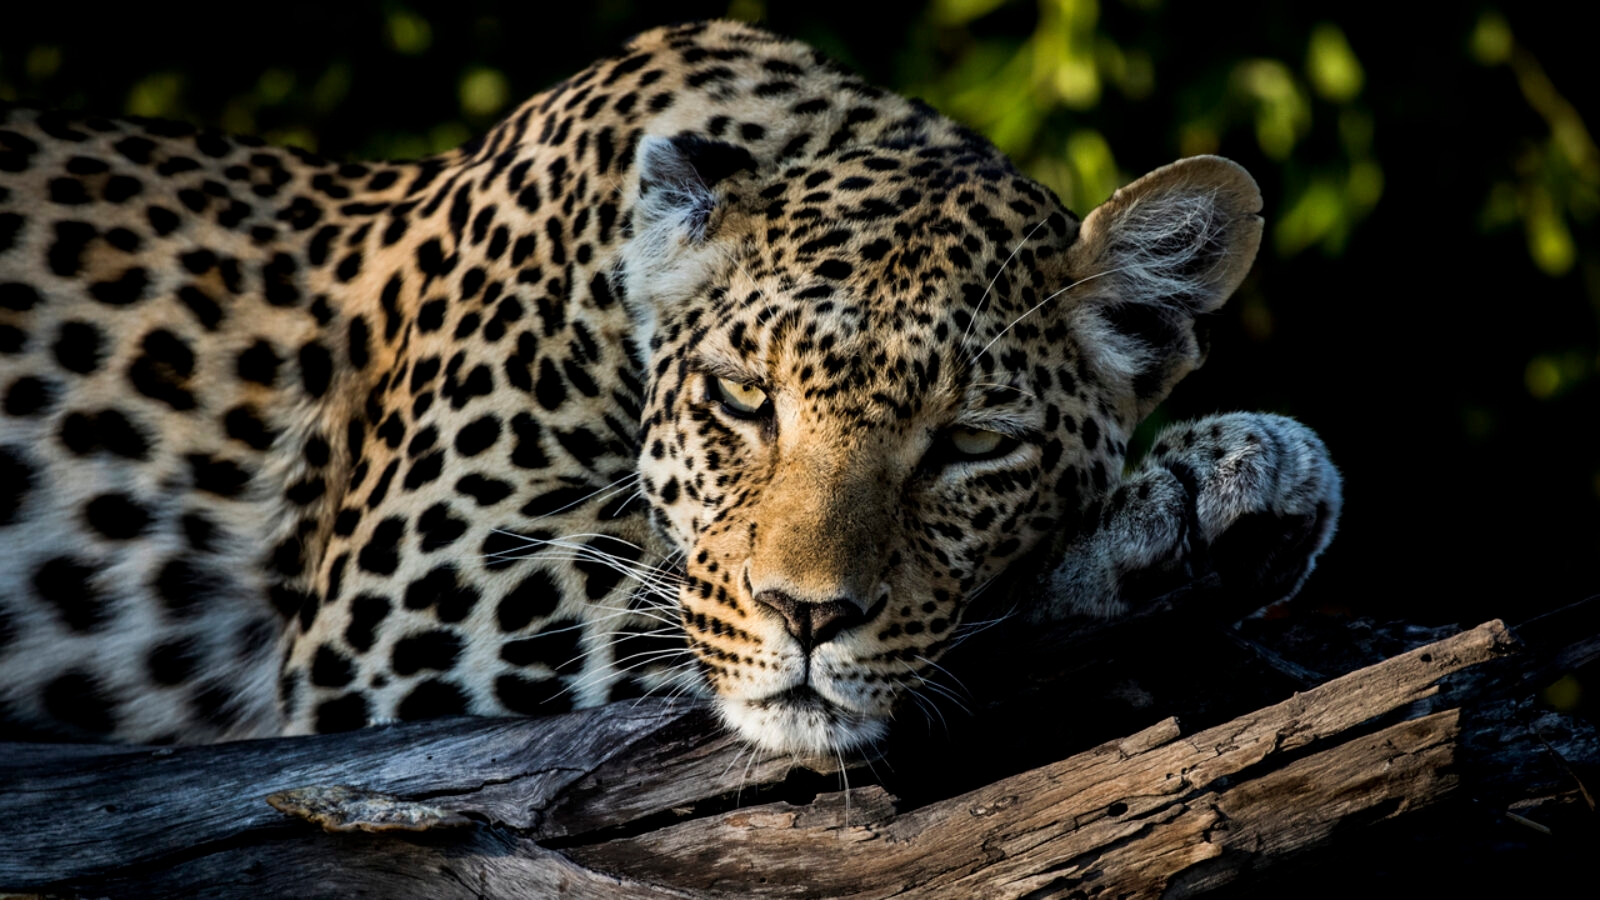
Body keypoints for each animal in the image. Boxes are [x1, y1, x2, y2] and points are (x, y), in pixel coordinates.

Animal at [0, 20, 1341, 755]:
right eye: (743, 399)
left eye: (969, 445)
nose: (810, 618)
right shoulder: (419, 584)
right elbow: (677, 589)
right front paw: (1159, 521)